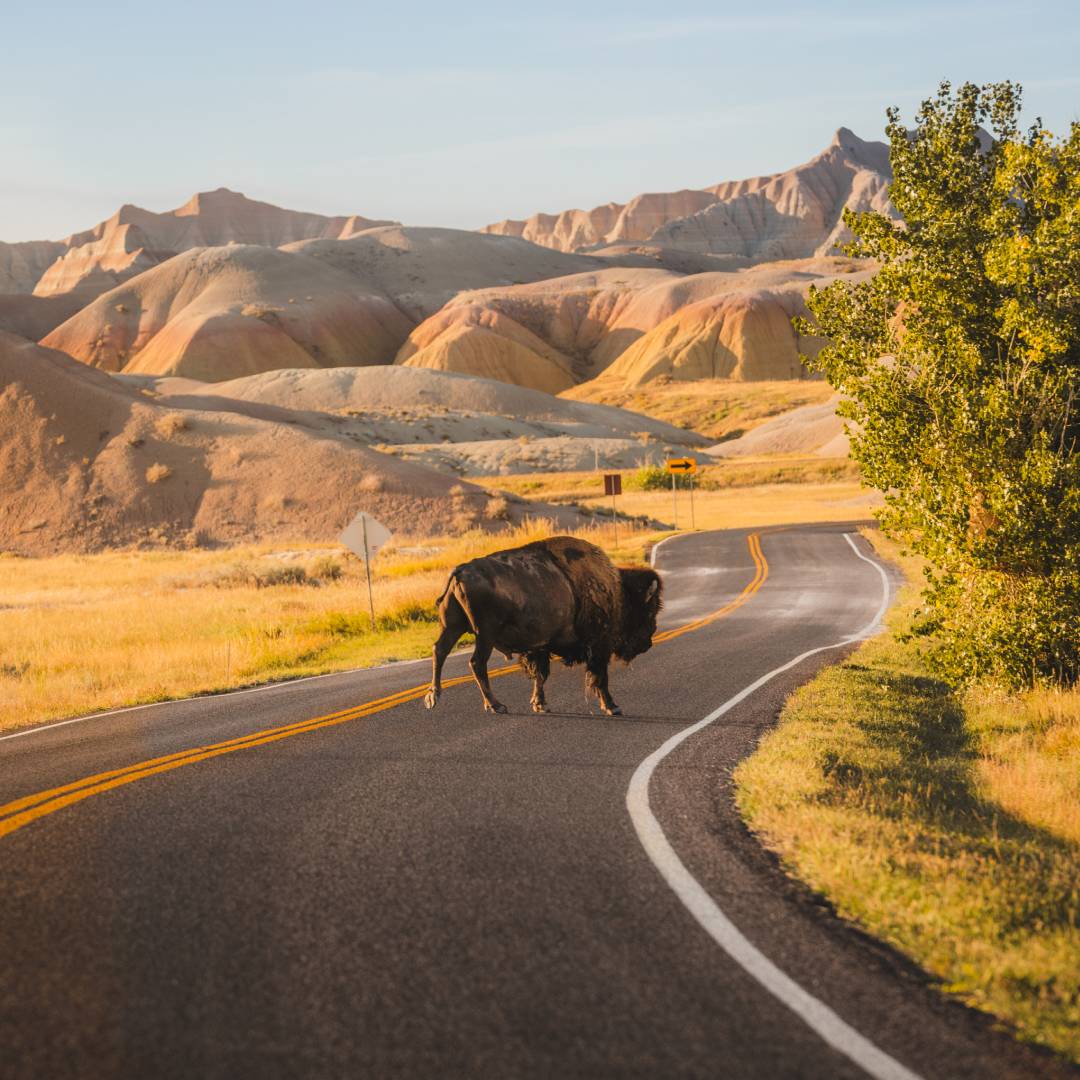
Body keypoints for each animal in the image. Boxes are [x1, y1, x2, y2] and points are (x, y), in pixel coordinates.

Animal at [424, 536, 662, 716]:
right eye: (649, 610)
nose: (648, 642)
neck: (617, 590)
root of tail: (460, 571)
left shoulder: (539, 646)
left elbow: (540, 674)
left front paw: (540, 704)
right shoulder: (598, 647)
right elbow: (600, 677)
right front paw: (612, 707)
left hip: (452, 627)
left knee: (439, 651)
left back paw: (433, 697)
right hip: (485, 634)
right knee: (476, 663)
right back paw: (496, 705)